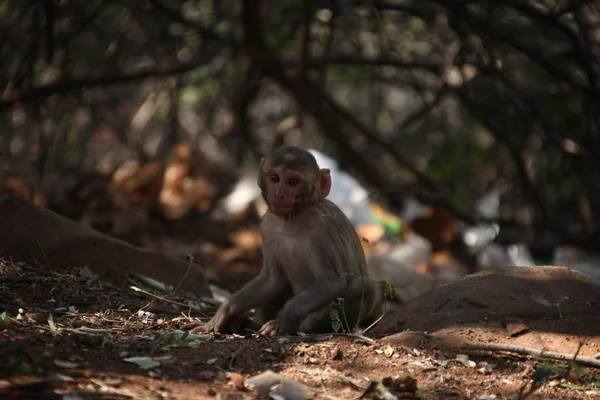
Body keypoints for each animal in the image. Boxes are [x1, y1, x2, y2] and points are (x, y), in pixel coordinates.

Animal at [199, 145, 382, 336]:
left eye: (293, 181)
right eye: (274, 178)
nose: (278, 194)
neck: (292, 220)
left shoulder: (324, 230)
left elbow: (331, 282)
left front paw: (285, 317)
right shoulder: (267, 226)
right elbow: (272, 279)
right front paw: (225, 311)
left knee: (363, 287)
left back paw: (301, 328)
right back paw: (248, 324)